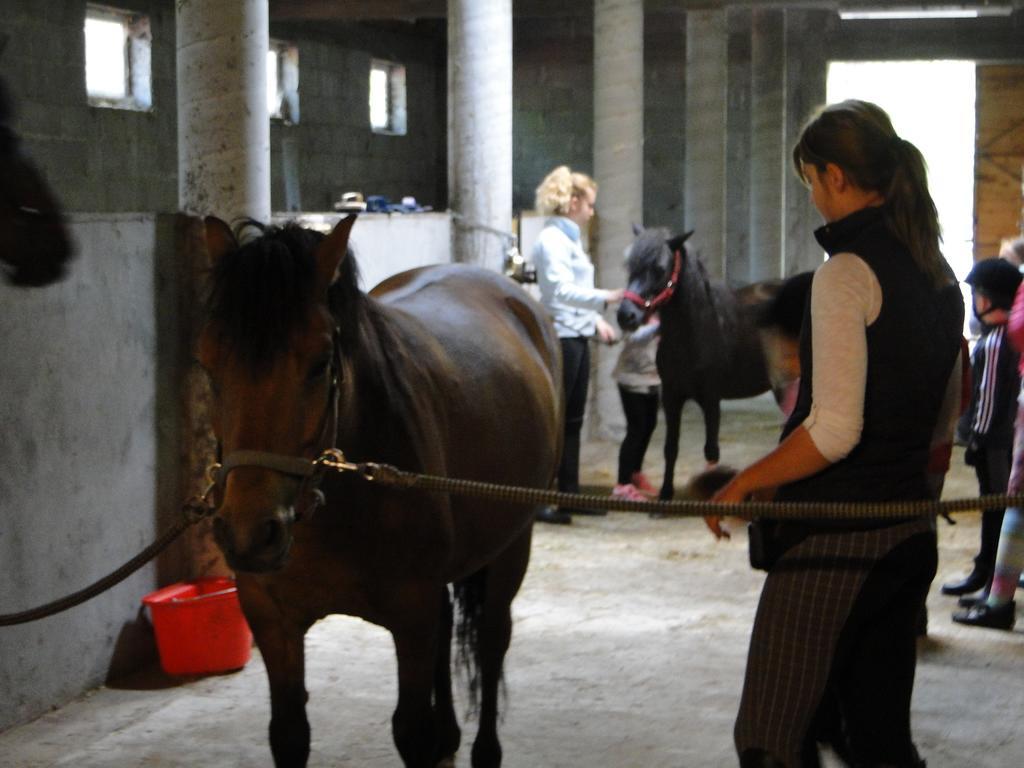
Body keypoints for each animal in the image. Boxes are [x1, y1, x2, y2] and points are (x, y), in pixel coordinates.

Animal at [200, 217, 565, 768]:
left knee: (492, 640)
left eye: (320, 362)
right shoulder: (272, 620)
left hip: (510, 546)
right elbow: (289, 734)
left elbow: (411, 730)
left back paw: (482, 750)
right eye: (209, 364)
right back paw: (449, 740)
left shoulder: (410, 617)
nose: (248, 534)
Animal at [614, 227, 782, 505]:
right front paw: (665, 495)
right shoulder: (672, 396)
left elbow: (711, 452)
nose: (626, 315)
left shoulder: (711, 398)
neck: (696, 329)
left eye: (659, 268)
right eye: (629, 266)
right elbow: (671, 447)